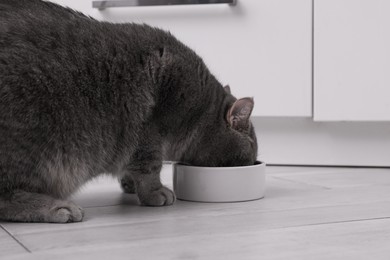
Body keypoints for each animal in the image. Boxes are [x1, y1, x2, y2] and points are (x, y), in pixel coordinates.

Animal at [0, 0, 258, 223]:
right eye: (253, 146)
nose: (255, 160)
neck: (201, 108)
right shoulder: (151, 129)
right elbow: (150, 166)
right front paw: (155, 192)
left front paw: (130, 184)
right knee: (6, 198)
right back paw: (57, 207)